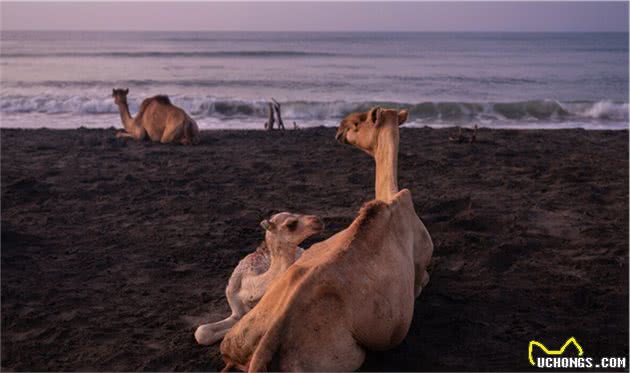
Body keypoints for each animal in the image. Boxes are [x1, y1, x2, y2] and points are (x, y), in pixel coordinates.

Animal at [221, 106, 434, 370]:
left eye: (357, 123)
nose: (340, 127)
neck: (390, 197)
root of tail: (265, 349)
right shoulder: (421, 264)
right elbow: (423, 280)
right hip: (342, 357)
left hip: (240, 334)